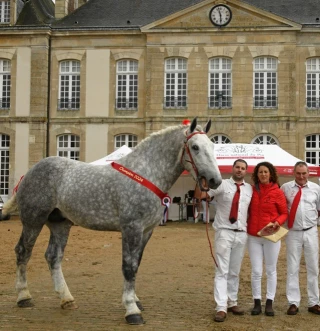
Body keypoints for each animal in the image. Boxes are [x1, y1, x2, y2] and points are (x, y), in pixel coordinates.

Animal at [2, 118, 221, 326]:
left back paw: (66, 299)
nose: (215, 181)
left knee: (53, 257)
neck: (146, 173)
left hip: (60, 224)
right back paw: (24, 296)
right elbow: (128, 267)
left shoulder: (146, 231)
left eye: (212, 145)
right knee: (23, 252)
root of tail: (30, 172)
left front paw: (135, 300)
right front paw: (132, 310)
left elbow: (136, 264)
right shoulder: (131, 228)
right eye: (195, 147)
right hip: (33, 220)